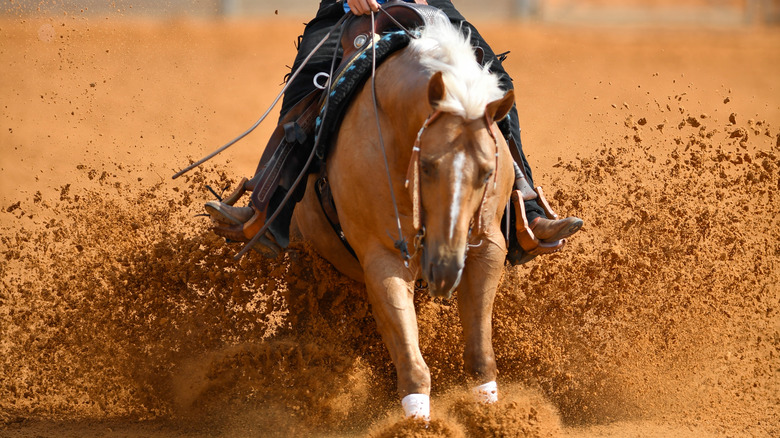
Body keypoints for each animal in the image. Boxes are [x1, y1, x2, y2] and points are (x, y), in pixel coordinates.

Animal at [292, 18, 516, 420]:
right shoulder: (385, 258)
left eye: (487, 172)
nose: (444, 267)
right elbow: (413, 366)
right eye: (425, 165)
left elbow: (480, 356)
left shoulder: (487, 249)